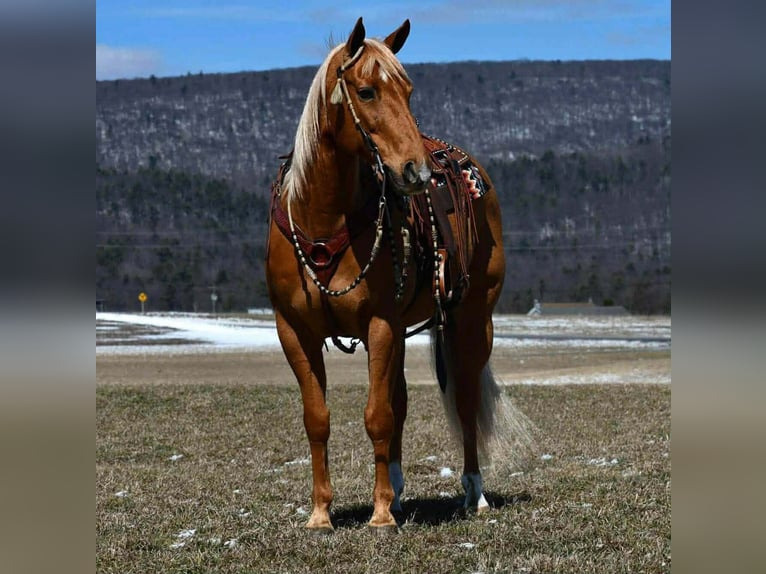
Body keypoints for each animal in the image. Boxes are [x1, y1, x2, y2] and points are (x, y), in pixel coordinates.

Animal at [266, 18, 510, 532]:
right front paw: (321, 513)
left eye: (408, 91)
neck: (324, 224)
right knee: (400, 401)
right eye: (366, 91)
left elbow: (376, 415)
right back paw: (398, 495)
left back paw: (473, 493)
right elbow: (318, 418)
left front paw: (378, 515)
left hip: (472, 319)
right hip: (402, 331)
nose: (416, 171)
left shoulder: (378, 324)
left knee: (464, 401)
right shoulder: (294, 330)